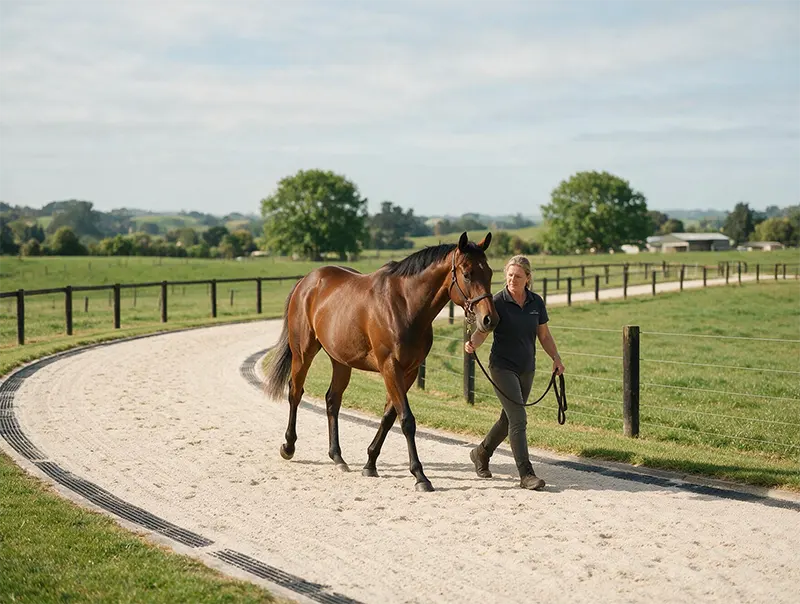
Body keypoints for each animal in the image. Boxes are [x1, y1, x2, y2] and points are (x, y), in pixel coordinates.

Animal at [263, 231, 499, 492]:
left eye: (489, 272)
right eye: (467, 273)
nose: (489, 319)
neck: (404, 305)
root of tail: (306, 281)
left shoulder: (409, 372)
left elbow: (389, 416)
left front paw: (370, 463)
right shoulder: (390, 368)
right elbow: (406, 420)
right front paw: (420, 476)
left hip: (340, 361)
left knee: (332, 400)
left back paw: (337, 457)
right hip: (303, 353)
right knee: (295, 392)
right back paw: (288, 446)